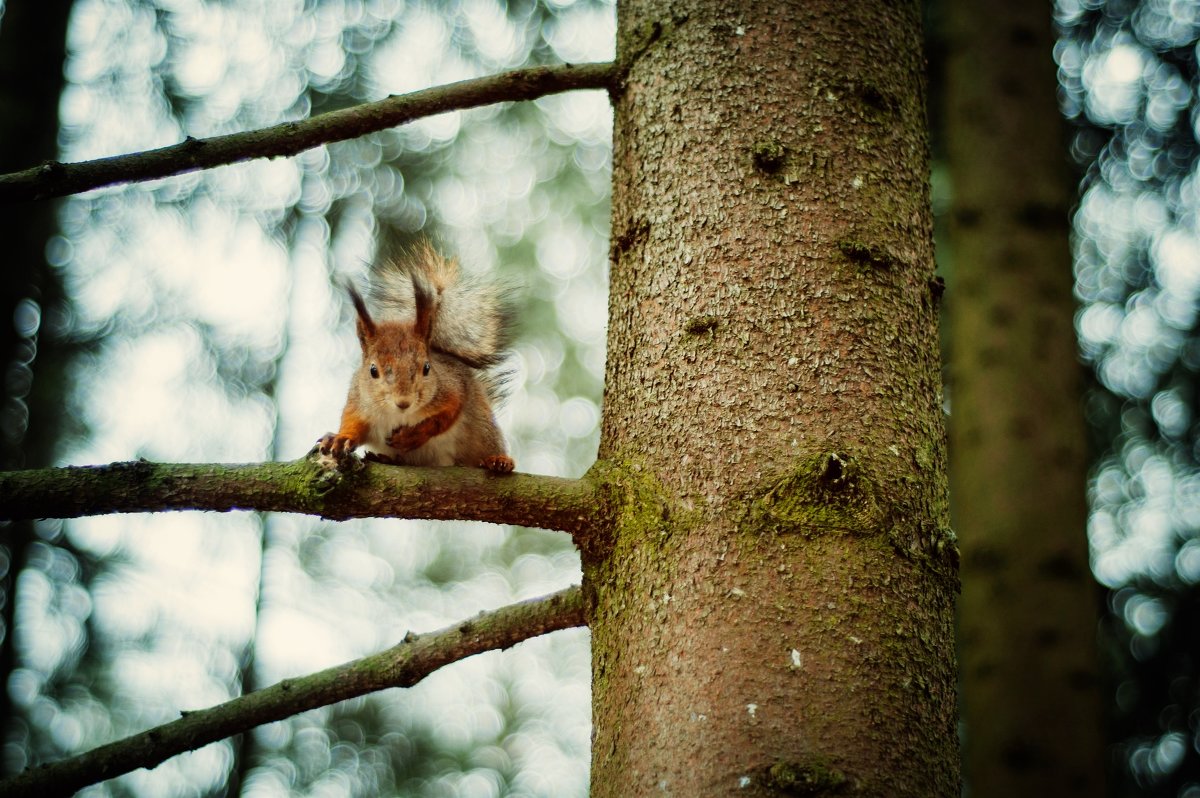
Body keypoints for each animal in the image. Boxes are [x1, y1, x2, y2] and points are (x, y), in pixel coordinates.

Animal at [314, 240, 516, 470]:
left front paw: (413, 435)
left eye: (427, 368)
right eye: (373, 370)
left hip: (482, 430)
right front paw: (340, 438)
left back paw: (498, 460)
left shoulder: (452, 387)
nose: (403, 402)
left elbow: (445, 415)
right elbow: (353, 424)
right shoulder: (358, 402)